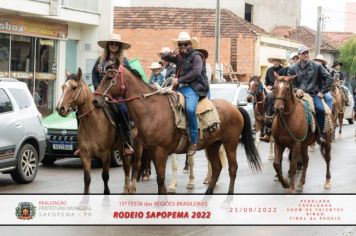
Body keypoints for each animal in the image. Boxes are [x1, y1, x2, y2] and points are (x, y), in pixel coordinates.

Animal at [94, 66, 262, 194]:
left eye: (110, 78)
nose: (95, 100)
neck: (151, 110)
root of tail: (235, 108)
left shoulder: (160, 151)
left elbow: (161, 179)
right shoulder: (153, 150)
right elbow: (160, 179)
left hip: (230, 143)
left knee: (232, 168)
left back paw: (229, 196)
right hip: (213, 145)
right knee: (217, 168)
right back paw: (208, 193)